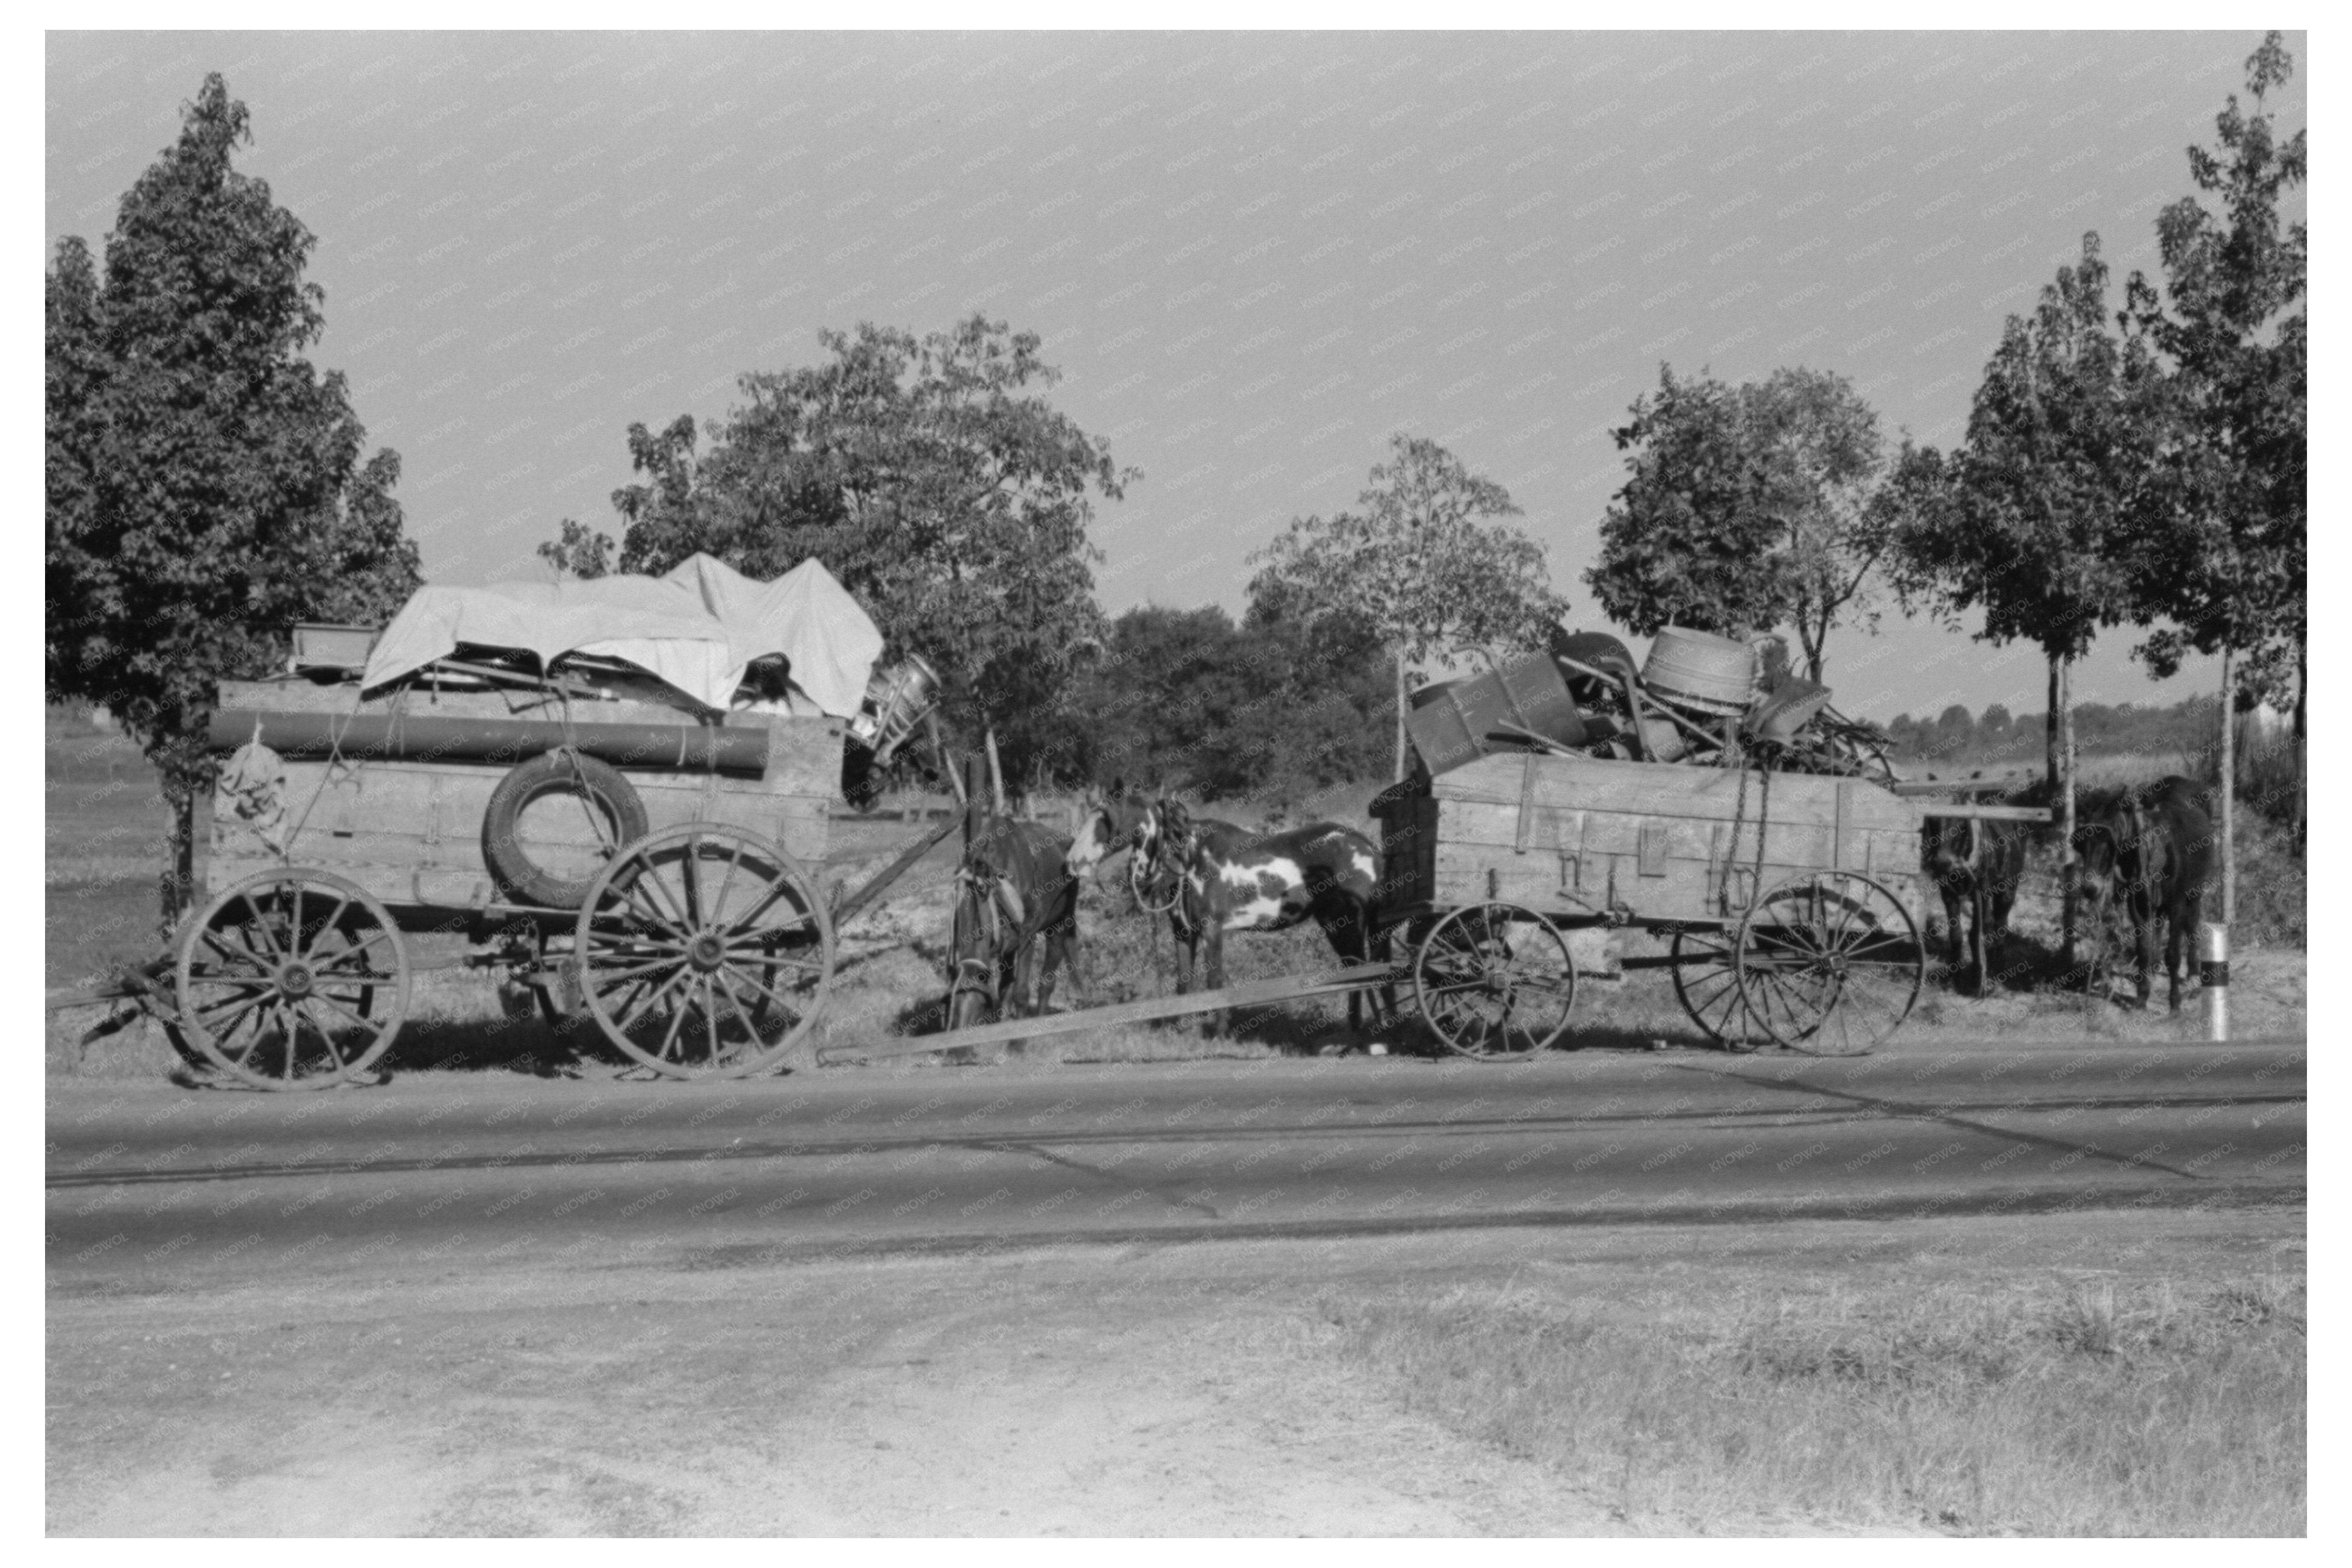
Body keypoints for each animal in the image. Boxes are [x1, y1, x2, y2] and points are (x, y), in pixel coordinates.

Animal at [940, 818, 1087, 1034]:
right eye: (949, 1001)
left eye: (980, 1002)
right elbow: (1003, 990)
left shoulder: (1027, 938)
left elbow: (1021, 993)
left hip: (1060, 924)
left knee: (1047, 982)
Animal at [1919, 808, 2032, 992]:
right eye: (1933, 821)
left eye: (1960, 823)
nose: (1942, 862)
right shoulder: (1949, 893)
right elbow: (1957, 934)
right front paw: (1956, 977)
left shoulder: (1983, 891)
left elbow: (1980, 931)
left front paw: (1980, 980)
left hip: (2008, 889)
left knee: (2000, 923)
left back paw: (1997, 967)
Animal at [2070, 775, 2211, 1020]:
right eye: (2082, 842)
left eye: (2110, 839)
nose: (2091, 888)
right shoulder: (2138, 905)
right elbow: (2143, 950)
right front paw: (2142, 998)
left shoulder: (2177, 903)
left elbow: (2174, 955)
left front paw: (2175, 1003)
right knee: (2160, 925)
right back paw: (2155, 968)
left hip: (2195, 891)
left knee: (2192, 924)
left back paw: (2193, 976)